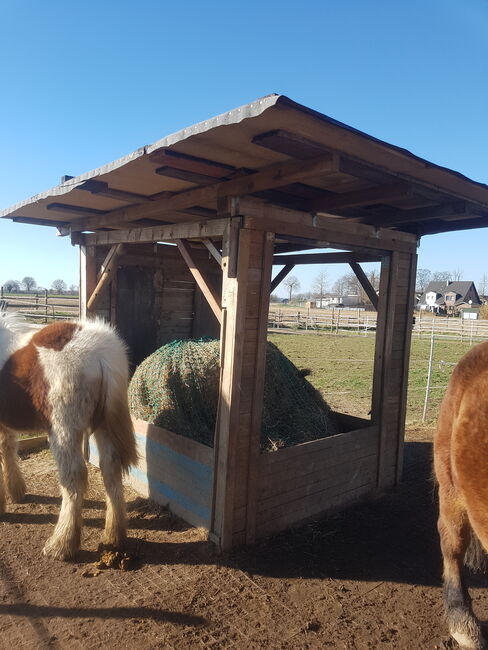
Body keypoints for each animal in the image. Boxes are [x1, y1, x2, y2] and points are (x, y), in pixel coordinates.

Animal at [0, 314, 138, 556]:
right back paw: (114, 536)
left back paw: (61, 544)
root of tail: (101, 352)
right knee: (111, 469)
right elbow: (7, 448)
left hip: (64, 430)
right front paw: (16, 492)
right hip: (103, 426)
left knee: (74, 477)